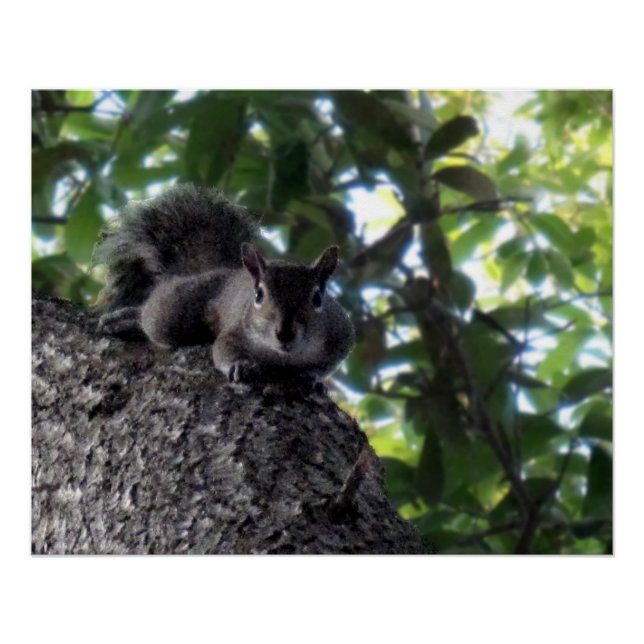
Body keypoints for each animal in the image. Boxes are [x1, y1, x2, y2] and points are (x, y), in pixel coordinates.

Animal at [95, 184, 355, 384]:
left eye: (317, 298)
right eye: (259, 295)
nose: (285, 333)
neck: (284, 356)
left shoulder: (340, 336)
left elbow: (328, 364)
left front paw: (313, 376)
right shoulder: (235, 332)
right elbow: (222, 350)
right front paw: (238, 365)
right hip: (176, 308)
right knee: (151, 317)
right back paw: (125, 320)